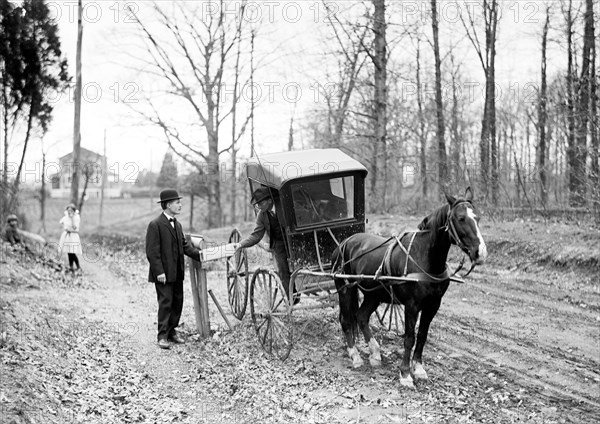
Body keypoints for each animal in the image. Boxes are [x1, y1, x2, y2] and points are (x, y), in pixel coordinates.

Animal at [332, 187, 488, 386]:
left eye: (478, 218)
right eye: (460, 218)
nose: (480, 253)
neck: (424, 258)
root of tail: (344, 242)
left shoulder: (433, 305)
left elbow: (422, 335)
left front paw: (419, 368)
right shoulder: (411, 306)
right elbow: (409, 338)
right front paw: (405, 374)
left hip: (374, 294)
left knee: (361, 316)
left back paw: (375, 353)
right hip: (345, 288)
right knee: (346, 320)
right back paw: (355, 356)